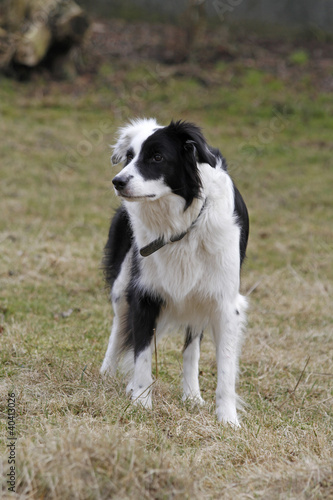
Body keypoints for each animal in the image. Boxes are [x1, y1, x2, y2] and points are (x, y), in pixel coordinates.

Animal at [100, 118, 248, 426]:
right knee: (119, 325)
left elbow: (225, 368)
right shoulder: (144, 293)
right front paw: (140, 401)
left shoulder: (226, 302)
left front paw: (227, 419)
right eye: (129, 157)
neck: (179, 225)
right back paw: (107, 373)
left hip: (199, 300)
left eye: (157, 157)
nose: (118, 181)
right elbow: (142, 353)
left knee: (191, 348)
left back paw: (192, 395)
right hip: (122, 285)